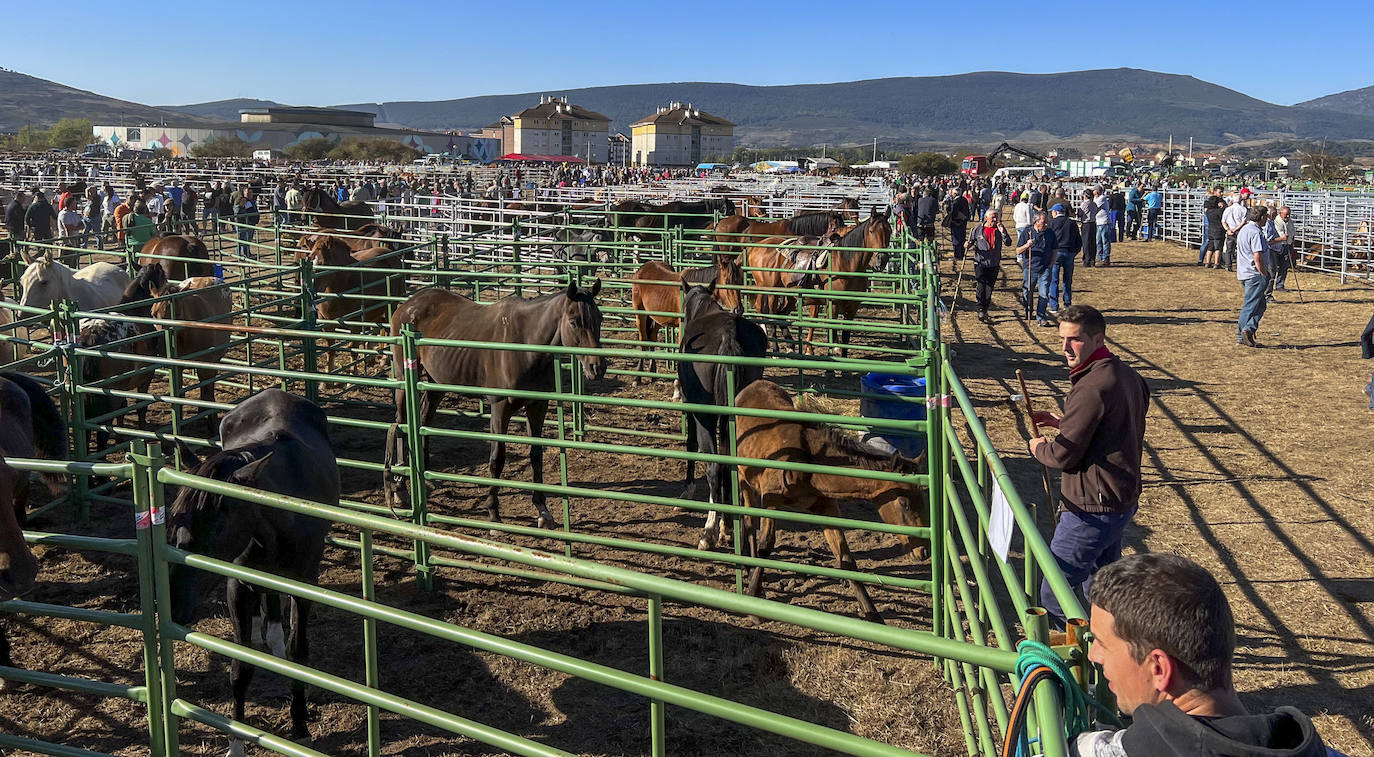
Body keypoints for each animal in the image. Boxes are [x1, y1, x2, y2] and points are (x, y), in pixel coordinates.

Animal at [166, 387, 338, 747]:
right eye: (174, 521)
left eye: (216, 529)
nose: (173, 606)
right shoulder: (238, 583)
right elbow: (240, 667)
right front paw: (236, 742)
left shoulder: (304, 582)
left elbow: (299, 652)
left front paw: (300, 724)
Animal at [384, 281, 604, 530]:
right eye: (574, 321)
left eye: (600, 319)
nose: (597, 367)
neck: (525, 344)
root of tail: (407, 305)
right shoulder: (500, 409)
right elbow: (497, 459)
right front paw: (493, 512)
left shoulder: (537, 405)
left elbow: (536, 455)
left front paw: (543, 510)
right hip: (404, 379)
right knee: (401, 424)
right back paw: (400, 490)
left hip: (435, 383)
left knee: (424, 419)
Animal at [629, 259, 747, 392]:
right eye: (727, 281)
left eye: (740, 282)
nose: (739, 309)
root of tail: (641, 268)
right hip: (640, 314)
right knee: (643, 340)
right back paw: (637, 378)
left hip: (656, 317)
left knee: (652, 339)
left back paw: (653, 373)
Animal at [676, 283, 774, 552]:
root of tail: (729, 333)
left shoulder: (691, 406)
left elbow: (691, 444)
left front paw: (687, 491)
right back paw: (728, 527)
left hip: (705, 416)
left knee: (714, 467)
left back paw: (709, 531)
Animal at [736, 381, 928, 623]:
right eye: (904, 503)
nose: (924, 551)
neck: (809, 459)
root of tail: (752, 385)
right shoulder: (771, 500)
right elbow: (765, 545)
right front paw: (754, 599)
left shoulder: (826, 507)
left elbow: (845, 557)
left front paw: (873, 614)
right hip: (745, 481)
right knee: (749, 522)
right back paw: (748, 570)